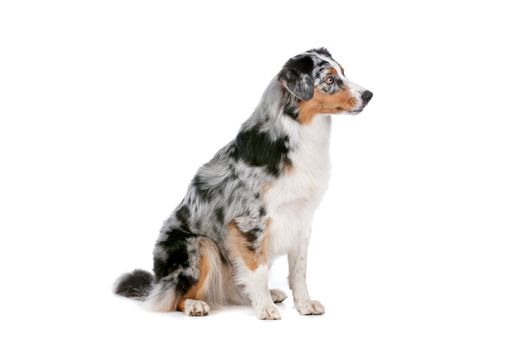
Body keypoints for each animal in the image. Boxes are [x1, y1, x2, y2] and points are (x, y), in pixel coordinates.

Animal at [114, 47, 370, 318]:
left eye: (343, 73)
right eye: (330, 80)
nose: (369, 95)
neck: (298, 132)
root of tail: (157, 282)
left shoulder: (301, 218)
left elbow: (299, 271)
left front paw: (304, 304)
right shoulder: (250, 221)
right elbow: (258, 271)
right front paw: (265, 308)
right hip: (199, 245)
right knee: (175, 296)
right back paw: (196, 304)